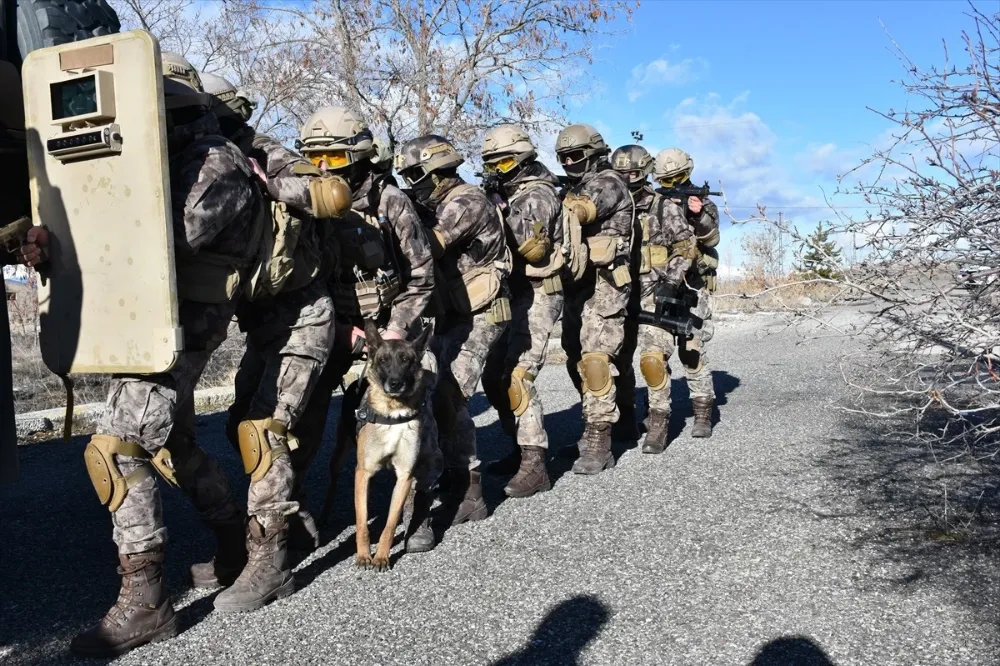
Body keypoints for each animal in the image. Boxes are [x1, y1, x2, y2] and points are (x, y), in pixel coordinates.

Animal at [316, 320, 434, 568]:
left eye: (406, 360)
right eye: (383, 360)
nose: (395, 383)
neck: (393, 412)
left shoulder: (405, 476)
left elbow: (390, 523)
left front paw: (381, 555)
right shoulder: (363, 472)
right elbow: (361, 522)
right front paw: (363, 554)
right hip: (340, 455)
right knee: (333, 482)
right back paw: (324, 514)